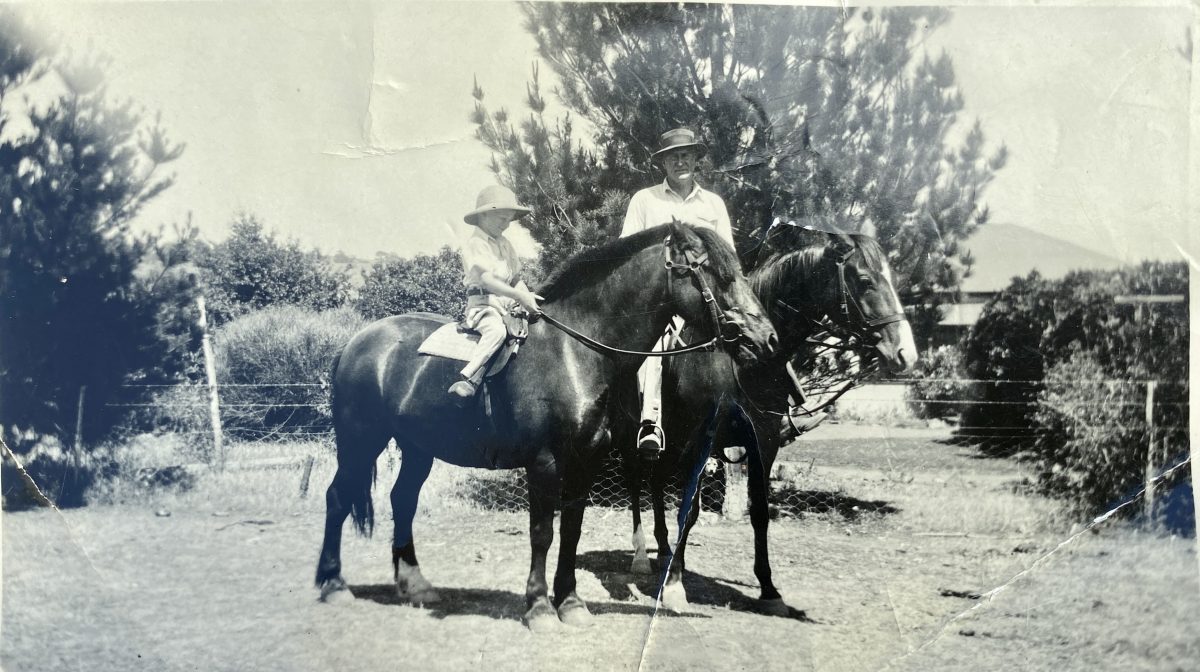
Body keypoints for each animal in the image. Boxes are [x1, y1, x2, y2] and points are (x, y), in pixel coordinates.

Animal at [312, 223, 777, 633]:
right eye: (718, 274)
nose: (767, 339)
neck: (575, 351)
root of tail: (357, 343)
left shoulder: (585, 463)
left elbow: (571, 531)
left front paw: (569, 603)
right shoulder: (544, 463)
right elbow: (542, 533)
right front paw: (538, 607)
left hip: (417, 448)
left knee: (402, 500)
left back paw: (415, 585)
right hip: (361, 441)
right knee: (337, 497)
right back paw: (333, 584)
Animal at [619, 230, 916, 614]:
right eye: (865, 281)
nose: (905, 353)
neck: (743, 362)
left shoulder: (764, 441)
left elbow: (759, 512)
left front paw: (769, 589)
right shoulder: (702, 440)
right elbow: (690, 510)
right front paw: (673, 587)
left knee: (656, 484)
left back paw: (666, 552)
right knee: (637, 483)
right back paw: (642, 556)